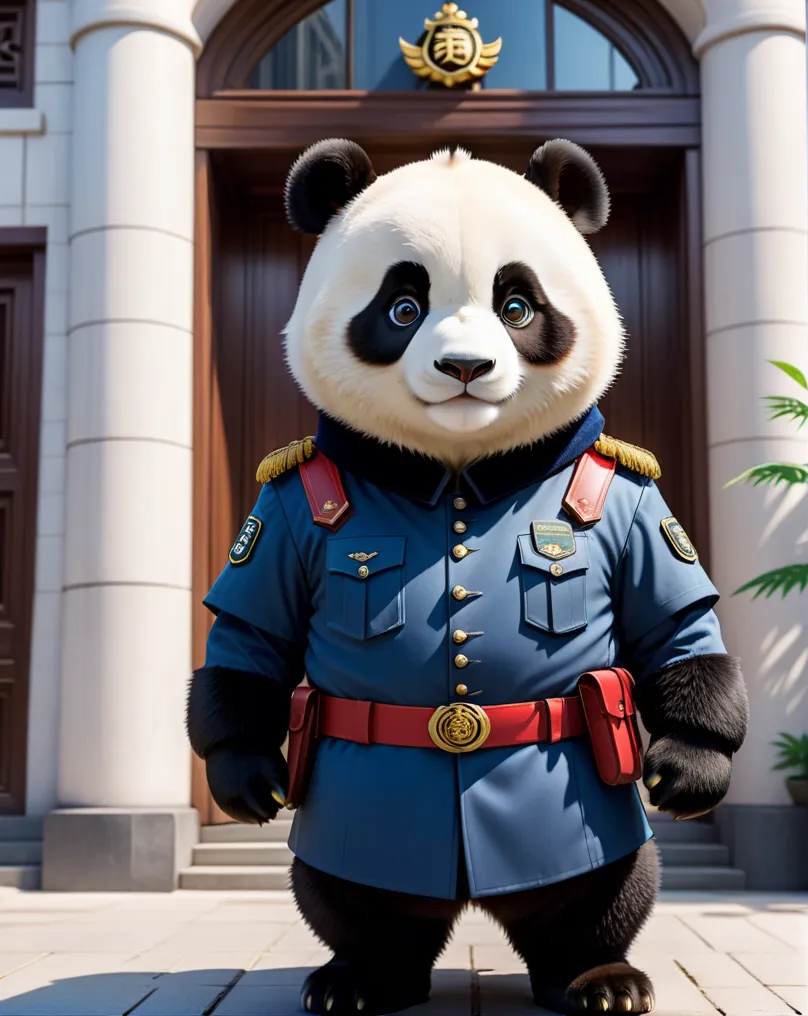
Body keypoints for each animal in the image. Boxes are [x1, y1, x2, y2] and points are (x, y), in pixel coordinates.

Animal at [185, 141, 748, 1016]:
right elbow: (252, 629)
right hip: (358, 825)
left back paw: (598, 977)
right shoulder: (280, 510)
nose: (464, 366)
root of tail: (473, 898)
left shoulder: (633, 503)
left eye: (517, 306)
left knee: (608, 886)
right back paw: (360, 978)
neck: (456, 473)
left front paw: (688, 767)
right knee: (348, 895)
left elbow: (672, 620)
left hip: (586, 812)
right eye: (401, 309)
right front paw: (245, 774)